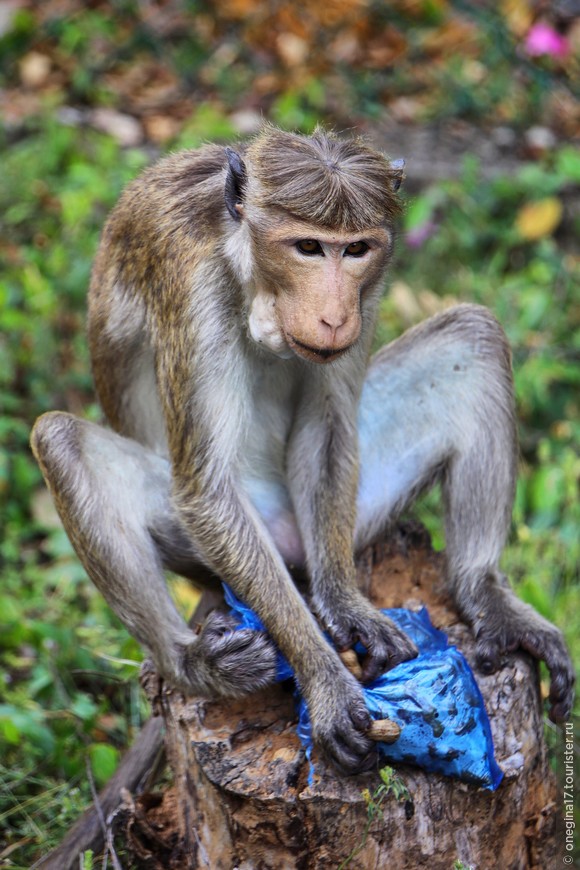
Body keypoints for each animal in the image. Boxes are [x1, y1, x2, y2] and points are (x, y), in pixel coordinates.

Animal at [30, 126, 572, 772]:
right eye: (308, 247)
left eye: (355, 249)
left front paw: (346, 606)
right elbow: (206, 489)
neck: (242, 259)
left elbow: (327, 432)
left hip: (353, 514)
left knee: (475, 335)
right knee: (60, 441)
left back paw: (484, 594)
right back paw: (190, 663)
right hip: (204, 549)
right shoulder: (193, 289)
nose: (334, 315)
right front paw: (325, 680)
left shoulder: (372, 291)